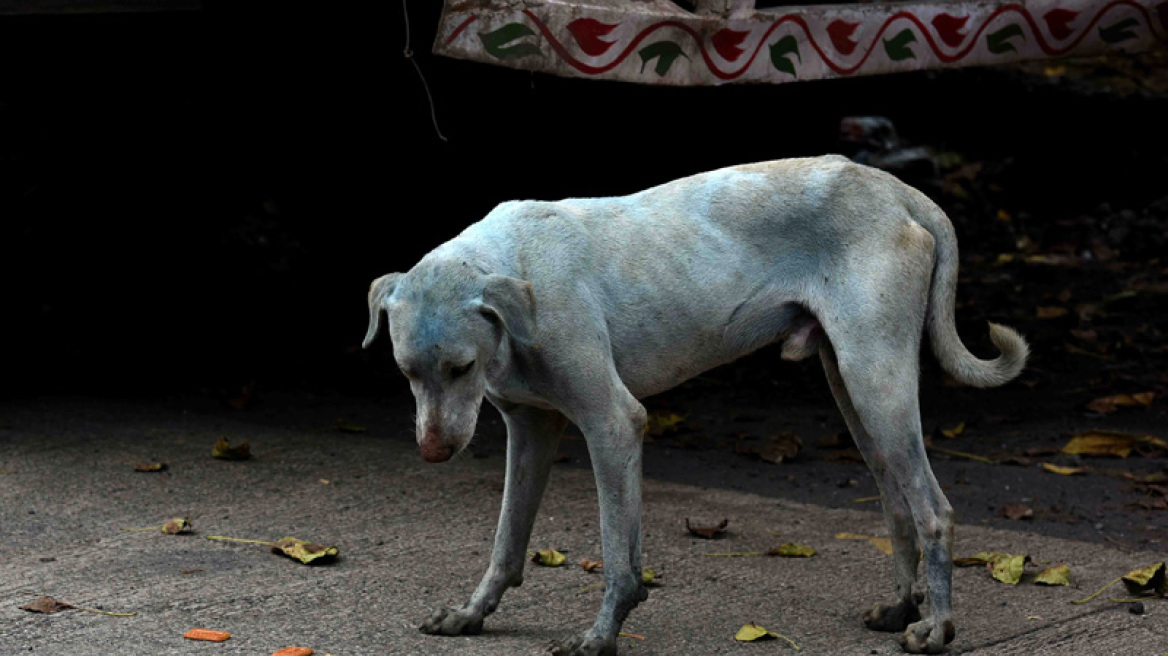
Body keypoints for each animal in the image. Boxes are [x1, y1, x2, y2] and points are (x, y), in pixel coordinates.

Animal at [362, 154, 1023, 653]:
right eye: (405, 372)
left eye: (462, 368)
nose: (433, 453)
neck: (514, 267)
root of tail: (900, 192)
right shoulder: (531, 429)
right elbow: (506, 543)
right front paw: (472, 614)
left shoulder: (614, 424)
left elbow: (617, 557)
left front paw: (600, 637)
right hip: (854, 391)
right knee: (897, 504)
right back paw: (902, 609)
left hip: (876, 380)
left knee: (934, 510)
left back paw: (937, 628)